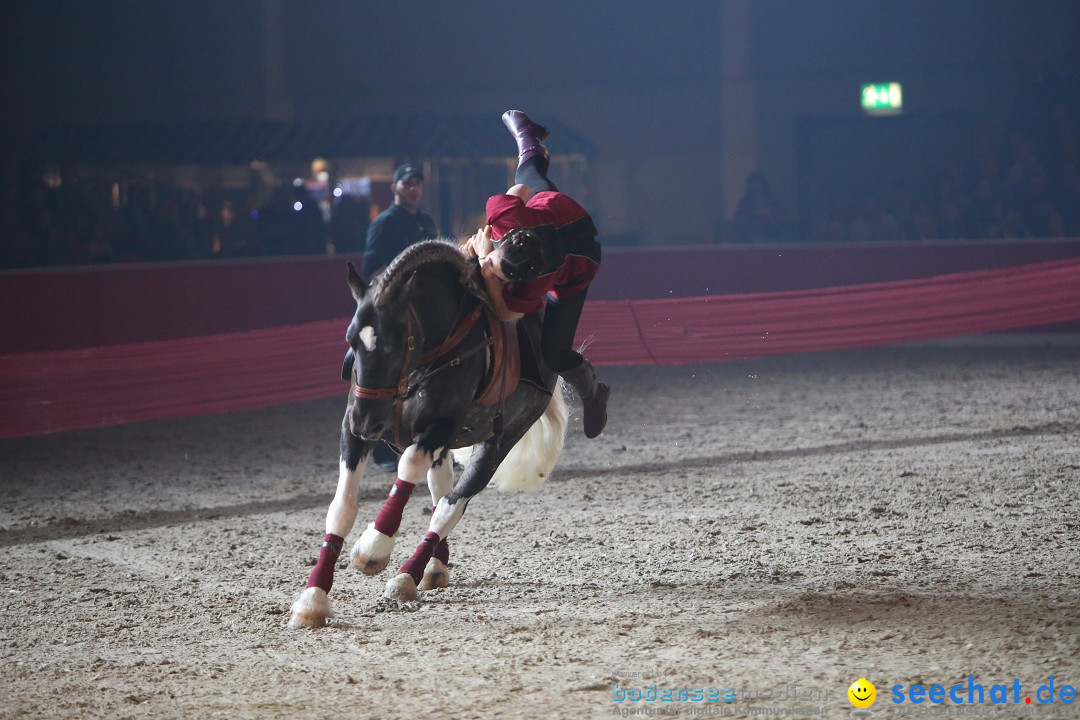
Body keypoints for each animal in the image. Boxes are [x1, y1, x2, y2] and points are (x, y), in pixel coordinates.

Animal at [291, 239, 570, 626]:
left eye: (391, 344)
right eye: (350, 340)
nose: (366, 423)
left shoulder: (438, 428)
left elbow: (409, 468)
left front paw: (374, 546)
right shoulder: (352, 429)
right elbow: (341, 507)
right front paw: (313, 599)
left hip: (499, 441)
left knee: (451, 506)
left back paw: (405, 578)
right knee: (440, 491)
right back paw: (434, 567)